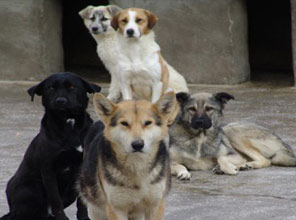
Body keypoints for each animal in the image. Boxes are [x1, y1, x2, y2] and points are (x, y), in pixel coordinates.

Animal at [0, 72, 101, 220]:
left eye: (72, 87)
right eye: (51, 88)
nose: (60, 101)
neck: (68, 124)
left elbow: (82, 201)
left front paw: (84, 218)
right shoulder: (48, 169)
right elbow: (55, 199)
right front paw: (62, 219)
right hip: (32, 187)